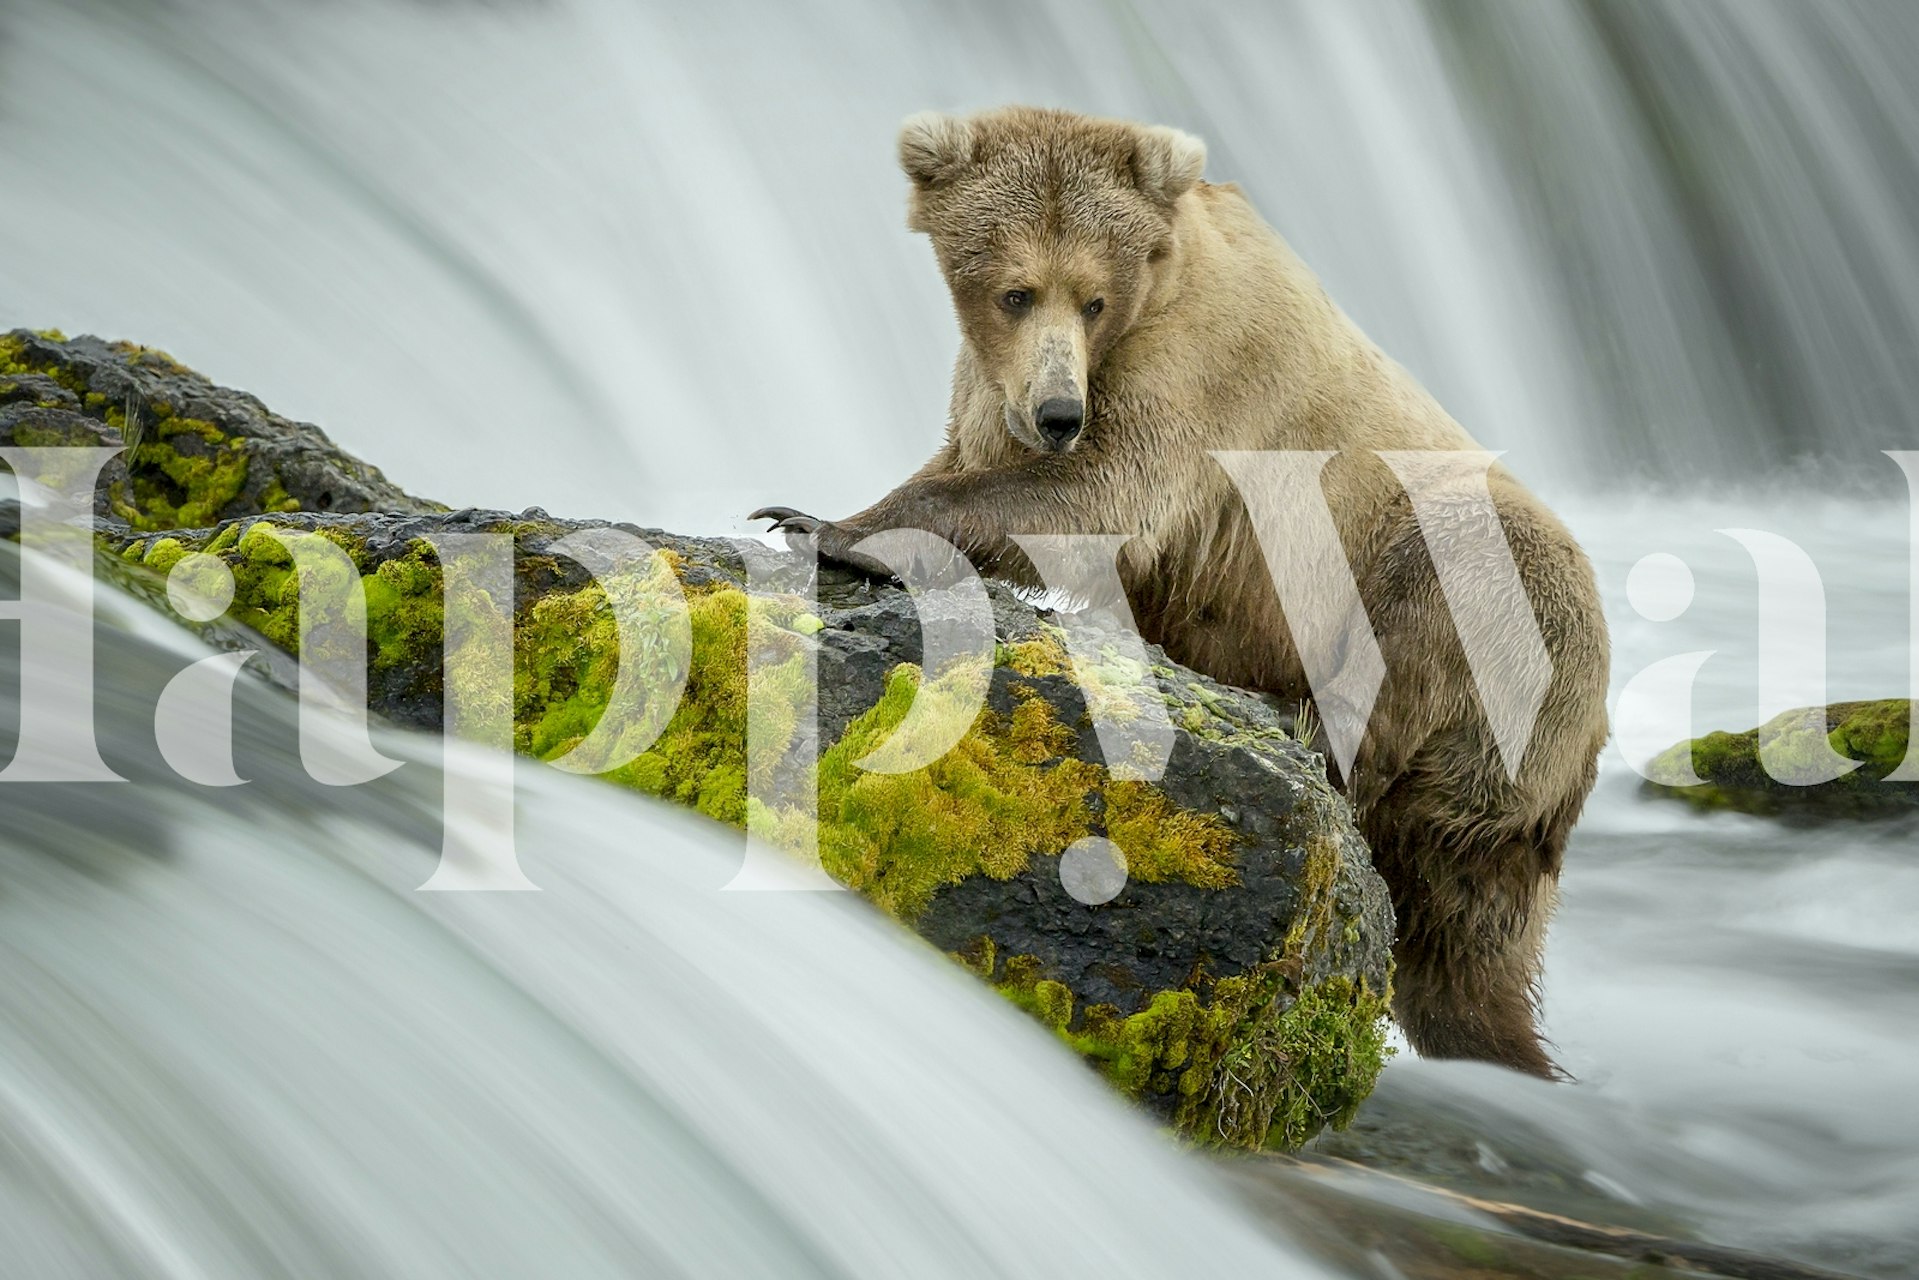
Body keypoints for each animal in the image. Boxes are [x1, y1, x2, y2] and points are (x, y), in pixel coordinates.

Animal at [754, 106, 1610, 1078]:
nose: (1058, 414)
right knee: (1460, 949)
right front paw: (818, 512)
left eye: (1091, 297)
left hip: (1486, 589)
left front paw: (823, 528)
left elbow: (1099, 496)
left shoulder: (1196, 373)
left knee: (1418, 636)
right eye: (1014, 291)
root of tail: (1582, 747)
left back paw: (1306, 723)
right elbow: (969, 452)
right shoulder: (1000, 383)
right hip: (1487, 832)